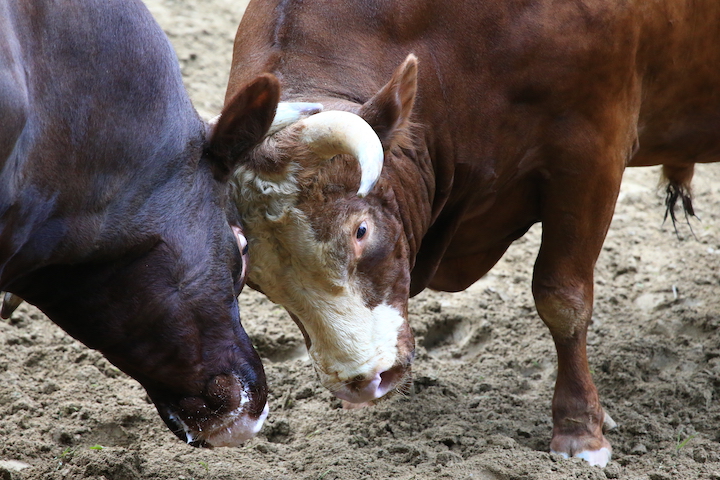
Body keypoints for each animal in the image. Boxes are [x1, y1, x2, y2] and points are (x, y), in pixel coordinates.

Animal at [224, 0, 720, 466]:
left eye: (360, 231)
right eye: (257, 277)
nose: (363, 382)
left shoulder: (591, 157)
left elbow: (564, 299)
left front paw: (580, 431)